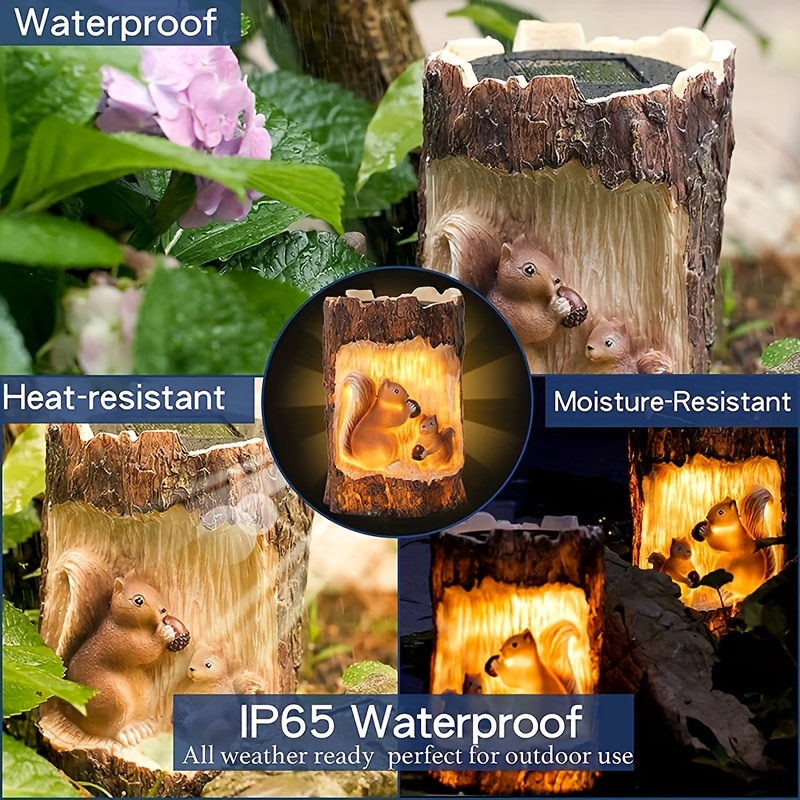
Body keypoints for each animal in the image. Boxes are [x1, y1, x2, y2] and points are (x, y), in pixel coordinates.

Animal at [62, 569, 189, 746]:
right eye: (138, 600)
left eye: (151, 587)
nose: (164, 610)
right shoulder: (120, 642)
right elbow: (145, 652)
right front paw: (164, 633)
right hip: (113, 700)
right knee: (107, 730)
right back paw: (128, 733)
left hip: (145, 695)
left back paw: (142, 727)